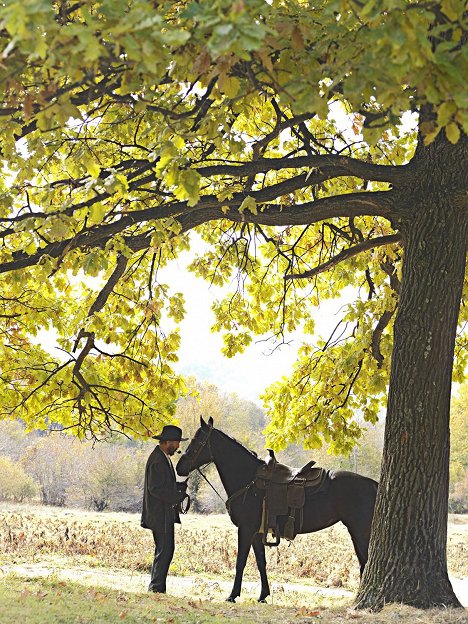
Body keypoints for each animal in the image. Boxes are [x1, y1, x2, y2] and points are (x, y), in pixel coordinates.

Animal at [177, 416, 378, 604]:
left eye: (198, 441)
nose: (180, 467)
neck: (249, 480)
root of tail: (373, 484)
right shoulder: (256, 533)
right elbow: (261, 562)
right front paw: (263, 595)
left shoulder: (246, 529)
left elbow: (240, 562)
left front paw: (233, 595)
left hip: (360, 531)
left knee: (365, 561)